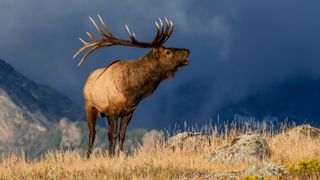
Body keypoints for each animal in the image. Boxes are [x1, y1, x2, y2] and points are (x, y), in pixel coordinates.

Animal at [74, 15, 190, 158]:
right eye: (168, 52)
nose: (187, 50)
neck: (132, 92)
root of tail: (87, 79)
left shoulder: (129, 112)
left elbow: (121, 135)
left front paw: (119, 155)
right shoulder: (113, 109)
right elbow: (114, 134)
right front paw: (113, 156)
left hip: (105, 113)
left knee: (107, 133)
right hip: (90, 105)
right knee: (92, 133)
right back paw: (88, 157)